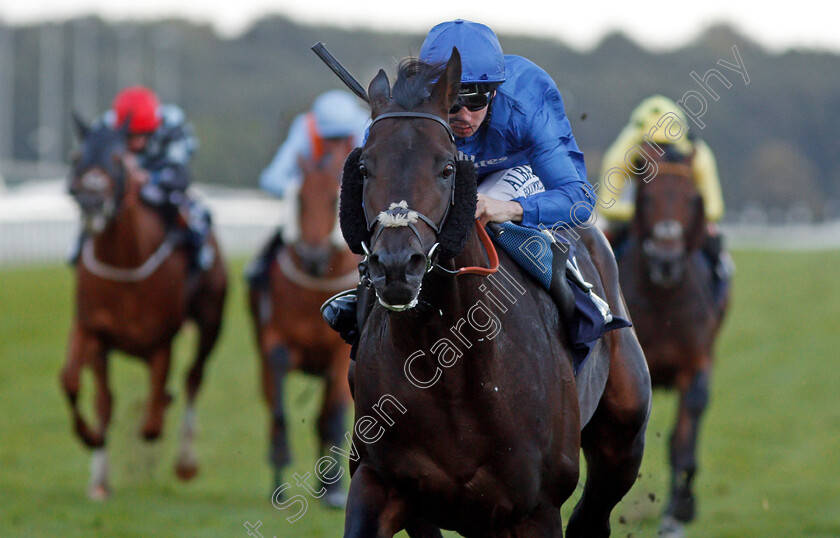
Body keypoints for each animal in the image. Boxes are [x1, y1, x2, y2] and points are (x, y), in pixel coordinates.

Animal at [60, 118, 228, 498]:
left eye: (118, 158)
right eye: (77, 156)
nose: (91, 200)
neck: (124, 266)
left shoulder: (160, 342)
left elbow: (151, 422)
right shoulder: (91, 330)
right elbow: (81, 388)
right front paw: (95, 461)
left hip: (211, 321)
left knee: (194, 378)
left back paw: (185, 461)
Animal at [246, 136, 358, 504]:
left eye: (335, 197)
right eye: (301, 199)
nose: (312, 255)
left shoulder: (339, 355)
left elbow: (334, 415)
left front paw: (334, 489)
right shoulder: (275, 339)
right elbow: (279, 407)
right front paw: (280, 476)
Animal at [338, 48, 652, 532]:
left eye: (447, 167)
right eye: (364, 168)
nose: (395, 267)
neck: (447, 361)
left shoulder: (536, 508)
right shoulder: (379, 481)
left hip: (623, 438)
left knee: (595, 509)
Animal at [612, 147, 732, 532]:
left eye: (693, 198)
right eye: (646, 197)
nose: (667, 260)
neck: (663, 297)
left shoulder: (696, 364)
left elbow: (683, 440)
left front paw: (678, 512)